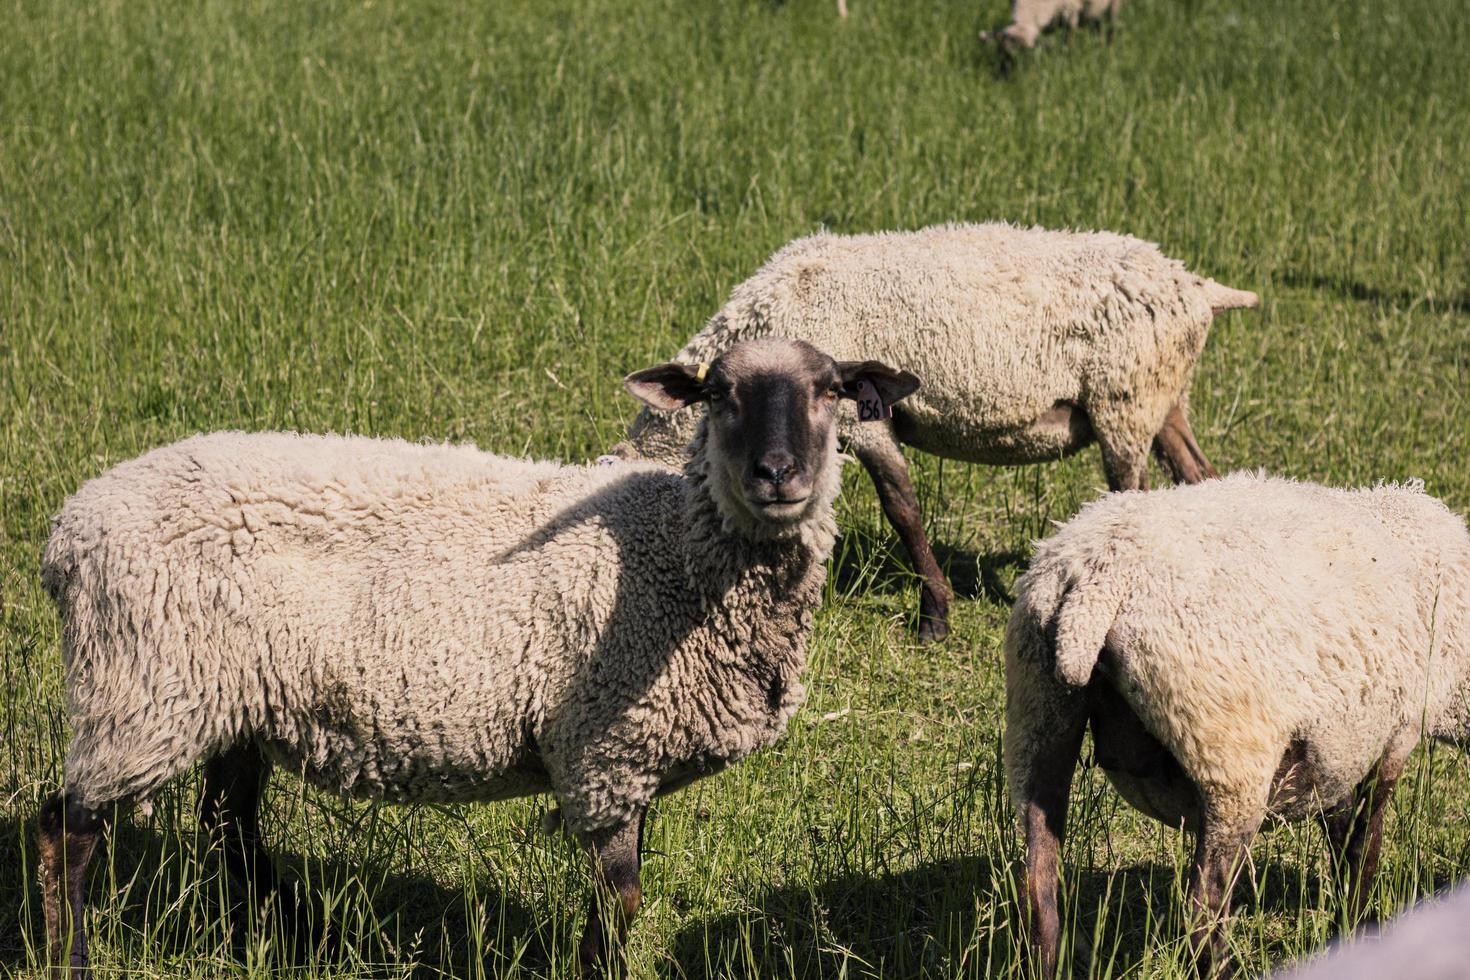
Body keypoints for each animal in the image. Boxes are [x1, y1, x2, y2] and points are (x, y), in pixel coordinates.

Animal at [34, 339, 917, 980]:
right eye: (719, 394)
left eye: (830, 389)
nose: (777, 475)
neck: (675, 554)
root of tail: (70, 529)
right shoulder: (602, 750)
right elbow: (621, 901)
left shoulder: (633, 758)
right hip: (141, 688)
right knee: (66, 826)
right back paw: (71, 957)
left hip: (228, 697)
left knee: (228, 827)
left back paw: (301, 935)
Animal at [602, 226, 1258, 646]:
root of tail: (1197, 286)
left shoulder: (861, 418)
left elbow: (903, 509)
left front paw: (934, 619)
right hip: (1165, 398)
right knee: (1198, 476)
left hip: (1125, 401)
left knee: (1135, 497)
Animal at [981, 0, 1128, 53]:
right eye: (1000, 53)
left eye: (1026, 53)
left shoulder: (1071, 12)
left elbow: (1069, 41)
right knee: (1098, 26)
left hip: (1114, 5)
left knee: (1111, 27)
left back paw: (1109, 52)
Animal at [1005, 470, 1470, 975]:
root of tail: (1094, 581)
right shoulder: (1394, 737)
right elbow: (1364, 848)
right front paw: (1359, 927)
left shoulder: (1338, 747)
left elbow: (1343, 834)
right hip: (1228, 756)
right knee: (1203, 906)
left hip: (1038, 715)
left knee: (1039, 889)